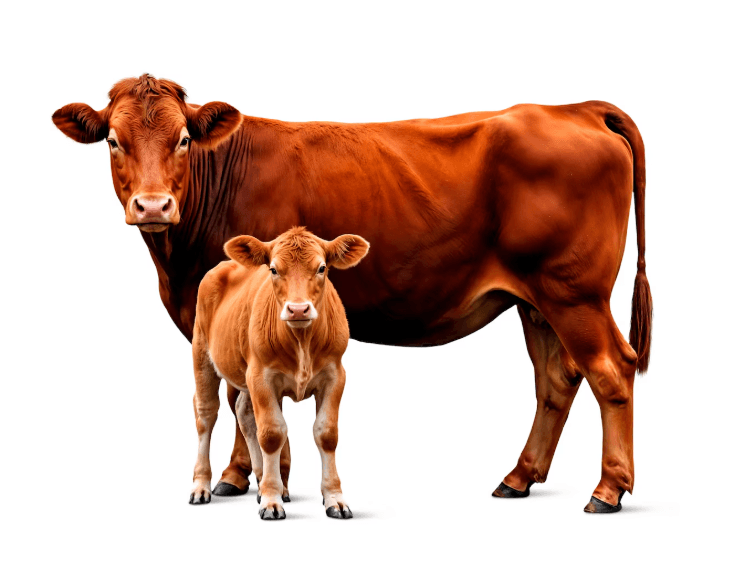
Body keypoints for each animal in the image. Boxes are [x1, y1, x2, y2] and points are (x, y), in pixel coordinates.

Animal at [190, 227, 369, 519]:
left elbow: (327, 434)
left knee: (244, 412)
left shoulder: (335, 375)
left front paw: (334, 498)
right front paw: (271, 500)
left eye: (322, 268)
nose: (298, 309)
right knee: (206, 414)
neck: (302, 340)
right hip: (202, 353)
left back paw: (262, 482)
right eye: (273, 269)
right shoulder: (262, 376)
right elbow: (272, 433)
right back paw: (201, 486)